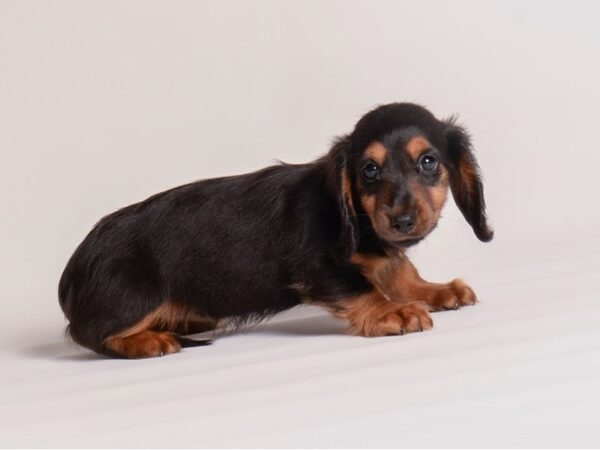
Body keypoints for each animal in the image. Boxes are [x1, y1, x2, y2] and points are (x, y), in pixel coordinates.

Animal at [58, 103, 494, 358]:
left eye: (428, 161)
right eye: (369, 170)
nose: (401, 221)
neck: (354, 217)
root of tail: (74, 268)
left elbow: (398, 269)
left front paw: (432, 290)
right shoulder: (316, 268)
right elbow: (360, 286)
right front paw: (394, 311)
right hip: (135, 294)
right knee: (87, 333)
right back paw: (146, 340)